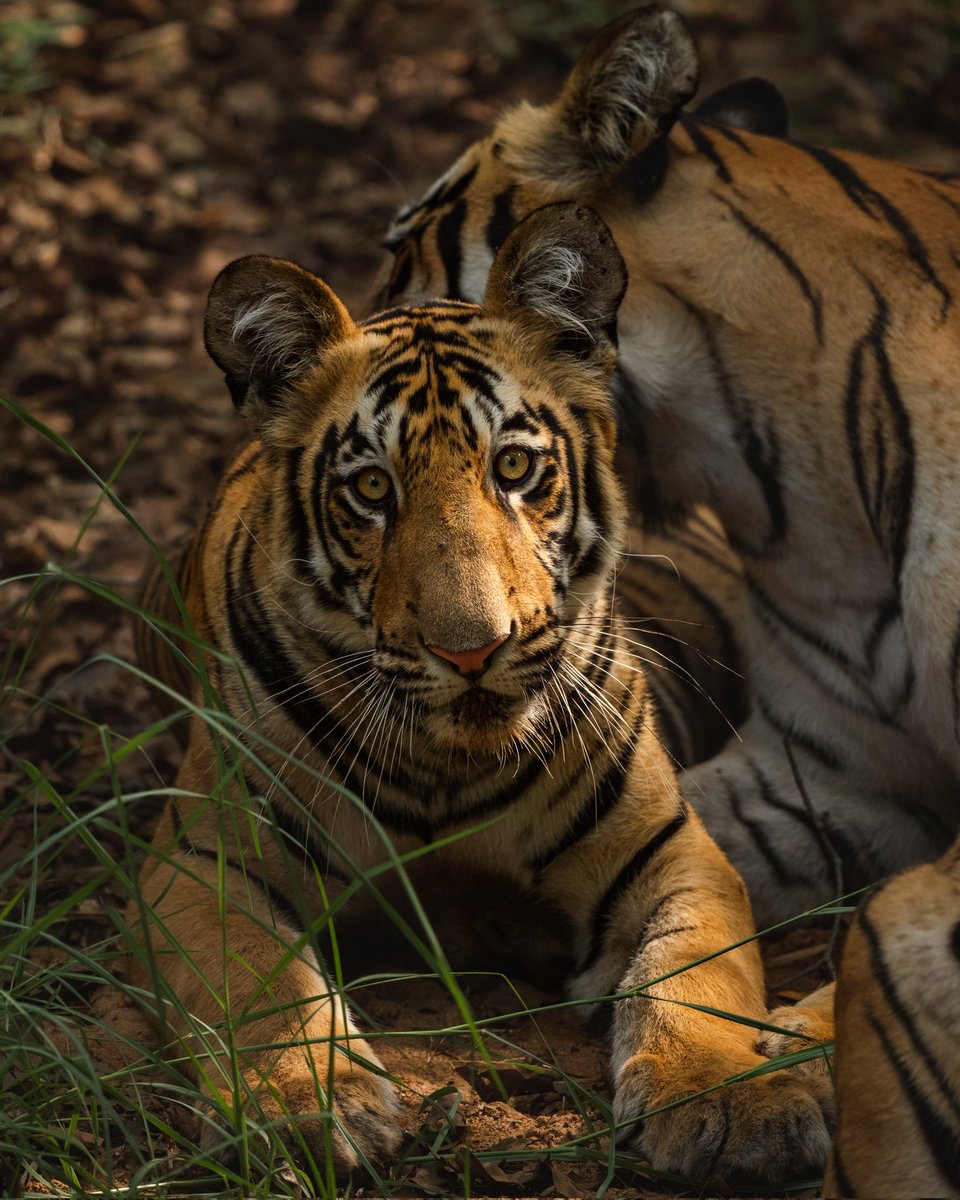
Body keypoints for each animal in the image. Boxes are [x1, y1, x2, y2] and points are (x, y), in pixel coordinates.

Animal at [129, 202, 833, 1187]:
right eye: (371, 488)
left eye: (513, 469)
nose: (472, 649)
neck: (448, 765)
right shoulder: (205, 859)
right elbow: (257, 984)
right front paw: (308, 1105)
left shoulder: (672, 853)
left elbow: (698, 976)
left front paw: (728, 1099)